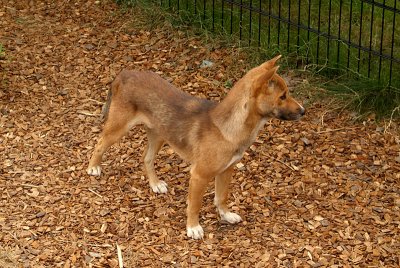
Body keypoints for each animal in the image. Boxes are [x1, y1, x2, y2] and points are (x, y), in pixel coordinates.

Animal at [87, 55, 304, 240]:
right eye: (283, 96)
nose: (303, 111)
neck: (227, 127)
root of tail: (125, 73)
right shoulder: (199, 175)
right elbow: (195, 205)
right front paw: (193, 228)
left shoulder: (226, 170)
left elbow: (221, 197)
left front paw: (226, 215)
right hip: (119, 128)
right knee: (99, 144)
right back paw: (93, 167)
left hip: (158, 135)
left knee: (146, 158)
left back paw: (155, 184)